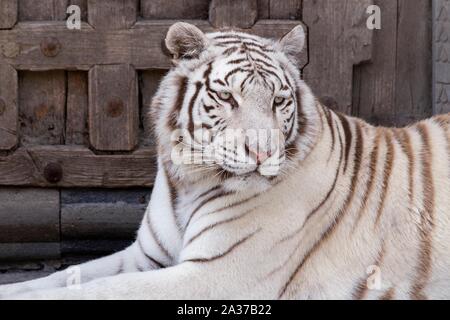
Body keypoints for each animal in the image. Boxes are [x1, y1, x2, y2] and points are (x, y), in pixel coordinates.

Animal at [0, 22, 450, 300]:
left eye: (279, 100)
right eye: (227, 97)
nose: (263, 153)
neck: (187, 180)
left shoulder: (215, 274)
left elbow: (95, 291)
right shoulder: (145, 257)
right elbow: (60, 276)